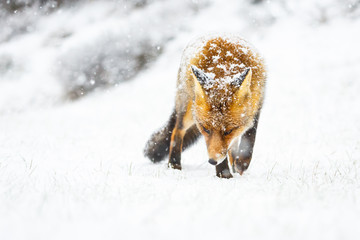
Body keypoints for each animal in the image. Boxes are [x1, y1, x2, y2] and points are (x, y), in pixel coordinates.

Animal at [145, 34, 266, 178]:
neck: (225, 65)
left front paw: (241, 163)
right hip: (188, 113)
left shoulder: (257, 105)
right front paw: (224, 174)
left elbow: (250, 136)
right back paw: (174, 165)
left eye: (228, 131)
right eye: (205, 129)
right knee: (176, 131)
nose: (212, 161)